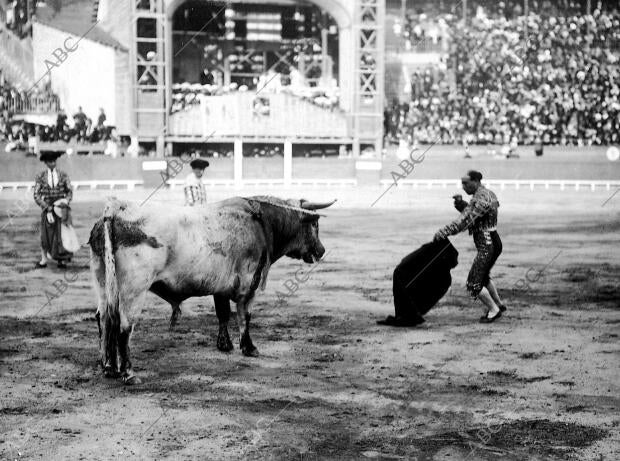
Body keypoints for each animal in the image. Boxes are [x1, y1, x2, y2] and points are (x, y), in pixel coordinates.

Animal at [87, 196, 334, 382]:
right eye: (315, 224)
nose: (321, 251)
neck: (261, 223)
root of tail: (116, 210)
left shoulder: (221, 286)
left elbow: (222, 313)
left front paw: (224, 345)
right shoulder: (248, 284)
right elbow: (244, 316)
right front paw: (249, 347)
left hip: (103, 282)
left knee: (105, 319)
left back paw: (109, 367)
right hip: (134, 289)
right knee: (124, 326)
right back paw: (128, 372)